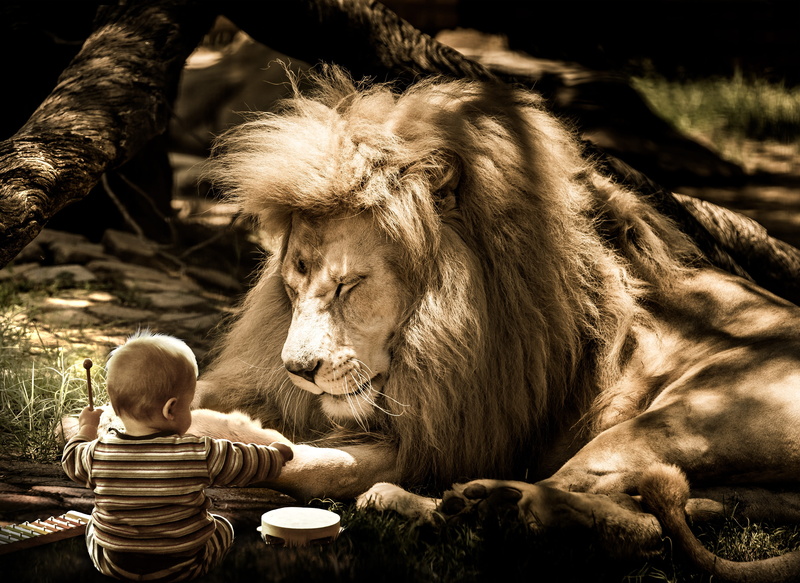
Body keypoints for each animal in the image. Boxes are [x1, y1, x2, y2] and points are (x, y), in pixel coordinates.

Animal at [192, 66, 800, 580]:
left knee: (599, 509)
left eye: (348, 286)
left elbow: (317, 464)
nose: (297, 370)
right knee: (643, 520)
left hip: (672, 419)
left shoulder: (455, 437)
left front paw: (231, 432)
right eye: (292, 288)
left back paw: (452, 502)